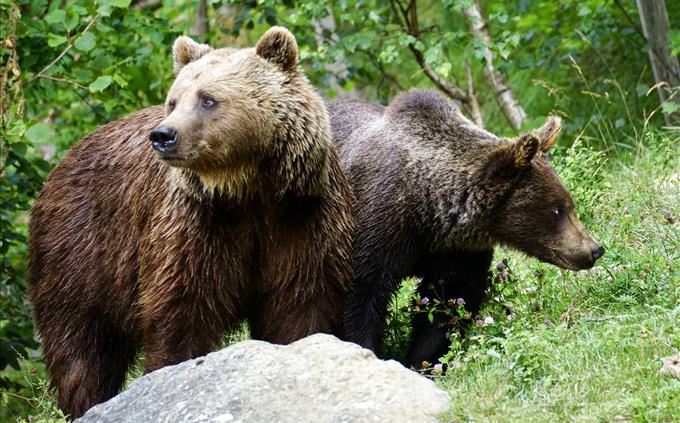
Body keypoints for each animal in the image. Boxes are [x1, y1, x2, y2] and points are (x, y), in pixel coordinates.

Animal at [27, 27, 350, 420]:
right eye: (173, 101)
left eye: (208, 99)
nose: (163, 135)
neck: (247, 189)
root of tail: (62, 163)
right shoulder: (195, 223)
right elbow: (183, 309)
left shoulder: (301, 216)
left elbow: (301, 302)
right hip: (81, 251)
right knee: (81, 348)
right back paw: (84, 403)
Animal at [330, 90, 604, 372]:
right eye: (557, 209)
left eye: (568, 204)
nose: (595, 249)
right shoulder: (378, 229)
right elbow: (361, 298)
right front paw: (366, 351)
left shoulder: (457, 252)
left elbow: (447, 305)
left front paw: (426, 363)